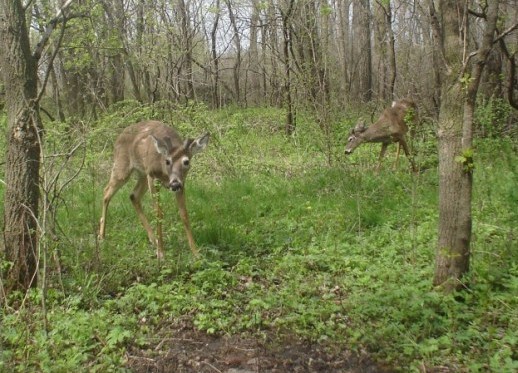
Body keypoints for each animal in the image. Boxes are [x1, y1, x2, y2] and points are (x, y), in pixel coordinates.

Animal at [99, 120, 209, 258]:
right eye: (167, 161)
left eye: (186, 162)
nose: (174, 184)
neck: (165, 174)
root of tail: (120, 136)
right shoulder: (152, 176)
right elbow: (158, 213)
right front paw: (161, 253)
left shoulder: (182, 183)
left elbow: (184, 214)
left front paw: (196, 253)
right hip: (122, 165)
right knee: (106, 192)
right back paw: (101, 236)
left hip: (142, 174)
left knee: (133, 195)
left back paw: (153, 239)